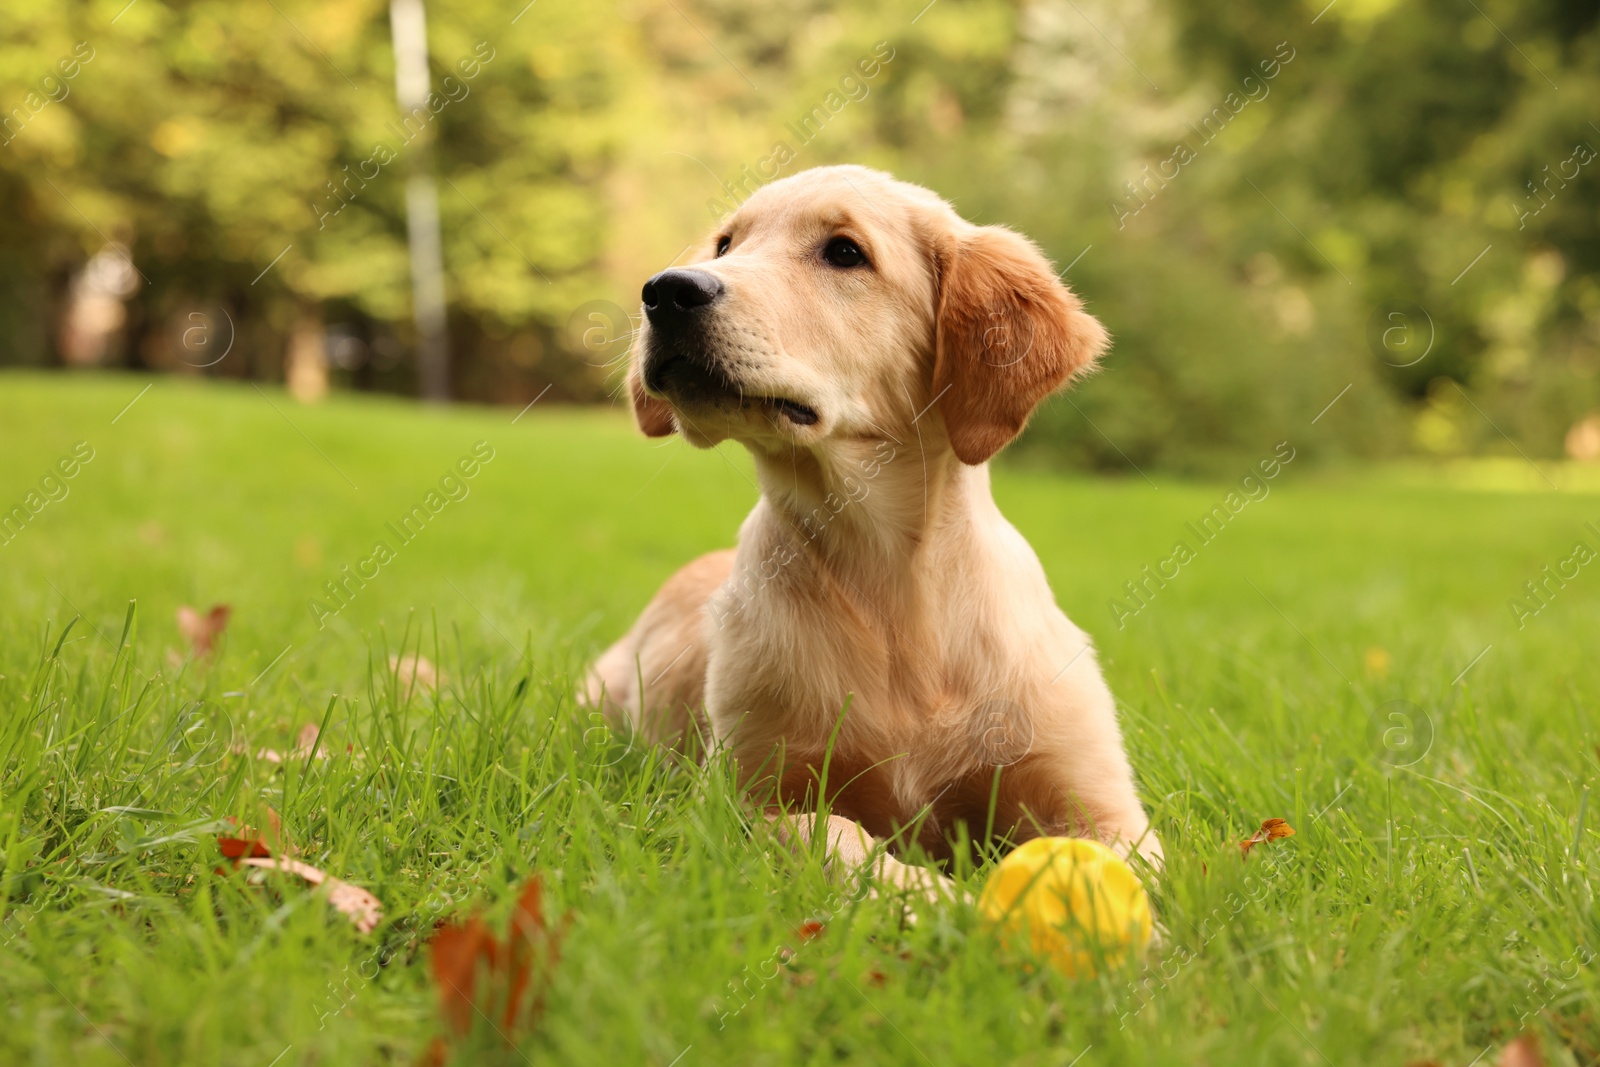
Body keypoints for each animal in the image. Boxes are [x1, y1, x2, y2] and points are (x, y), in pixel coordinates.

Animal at [588, 163, 1164, 889]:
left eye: (844, 252)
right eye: (725, 244)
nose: (666, 291)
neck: (889, 577)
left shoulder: (1104, 804)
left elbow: (1098, 866)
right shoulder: (744, 799)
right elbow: (838, 836)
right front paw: (939, 900)